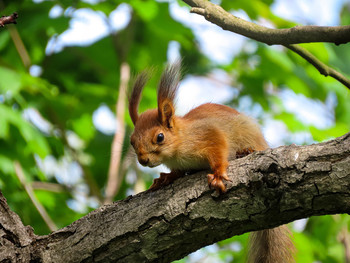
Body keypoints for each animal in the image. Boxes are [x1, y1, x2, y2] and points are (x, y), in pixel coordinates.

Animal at [127, 63, 294, 263]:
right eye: (131, 141)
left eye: (160, 137)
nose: (143, 160)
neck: (177, 148)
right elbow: (176, 172)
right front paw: (166, 178)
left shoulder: (209, 134)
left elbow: (219, 150)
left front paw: (218, 174)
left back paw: (246, 151)